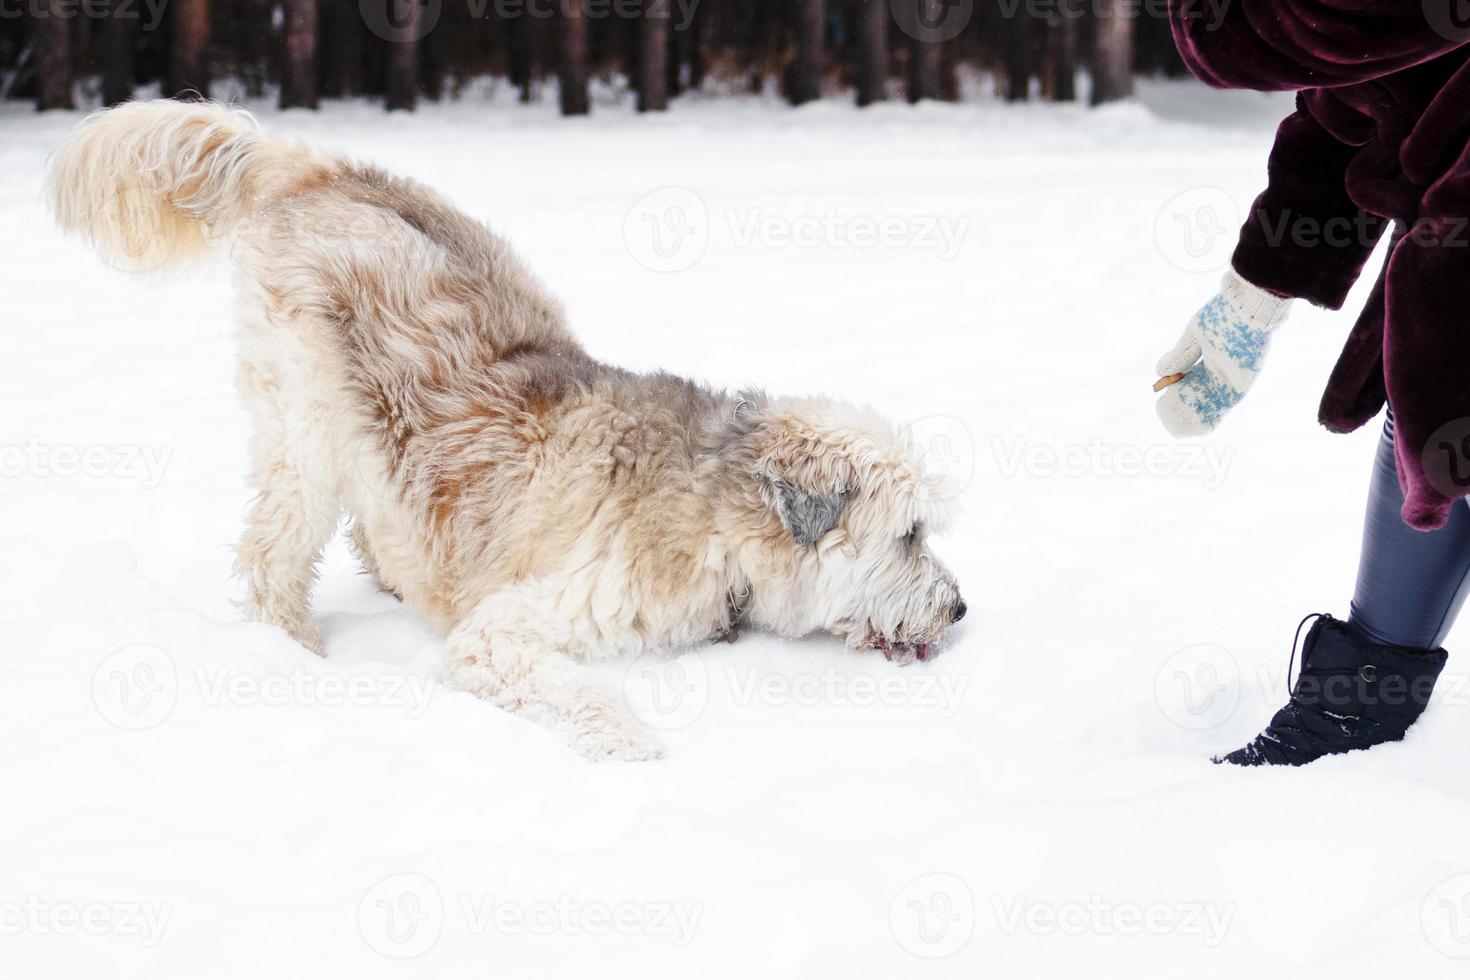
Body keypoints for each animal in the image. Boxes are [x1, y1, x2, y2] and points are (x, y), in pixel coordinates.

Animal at [48, 99, 964, 758]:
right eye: (910, 535)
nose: (959, 609)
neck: (710, 517)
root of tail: (315, 167)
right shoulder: (509, 633)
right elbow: (583, 696)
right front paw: (636, 751)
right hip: (302, 424)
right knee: (274, 553)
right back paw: (293, 650)